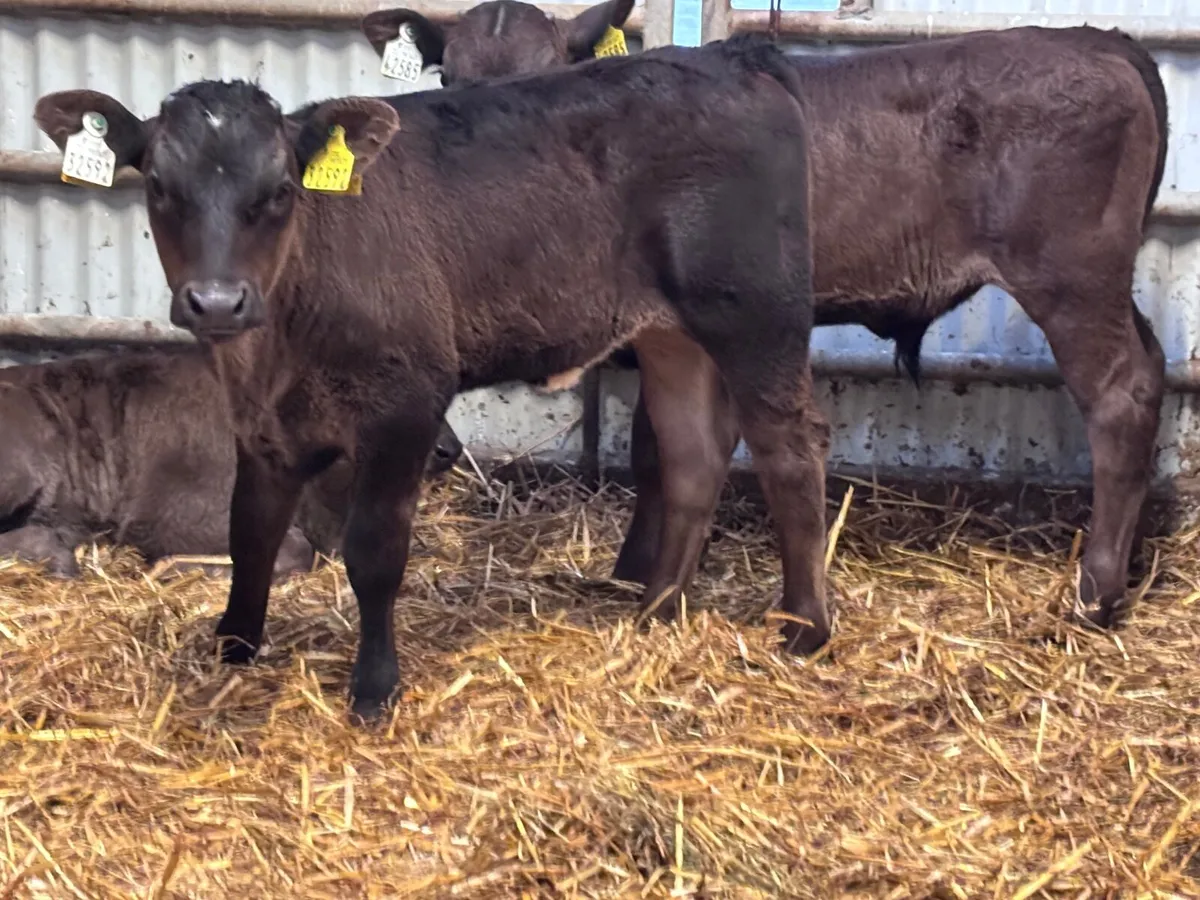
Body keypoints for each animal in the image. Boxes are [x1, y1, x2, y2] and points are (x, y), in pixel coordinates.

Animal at [360, 7, 1170, 632]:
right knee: (1155, 367)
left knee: (1120, 394)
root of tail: (1097, 40)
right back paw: (1125, 567)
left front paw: (635, 567)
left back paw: (1094, 594)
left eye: (553, 64)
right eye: (448, 75)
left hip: (1069, 278)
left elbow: (655, 450)